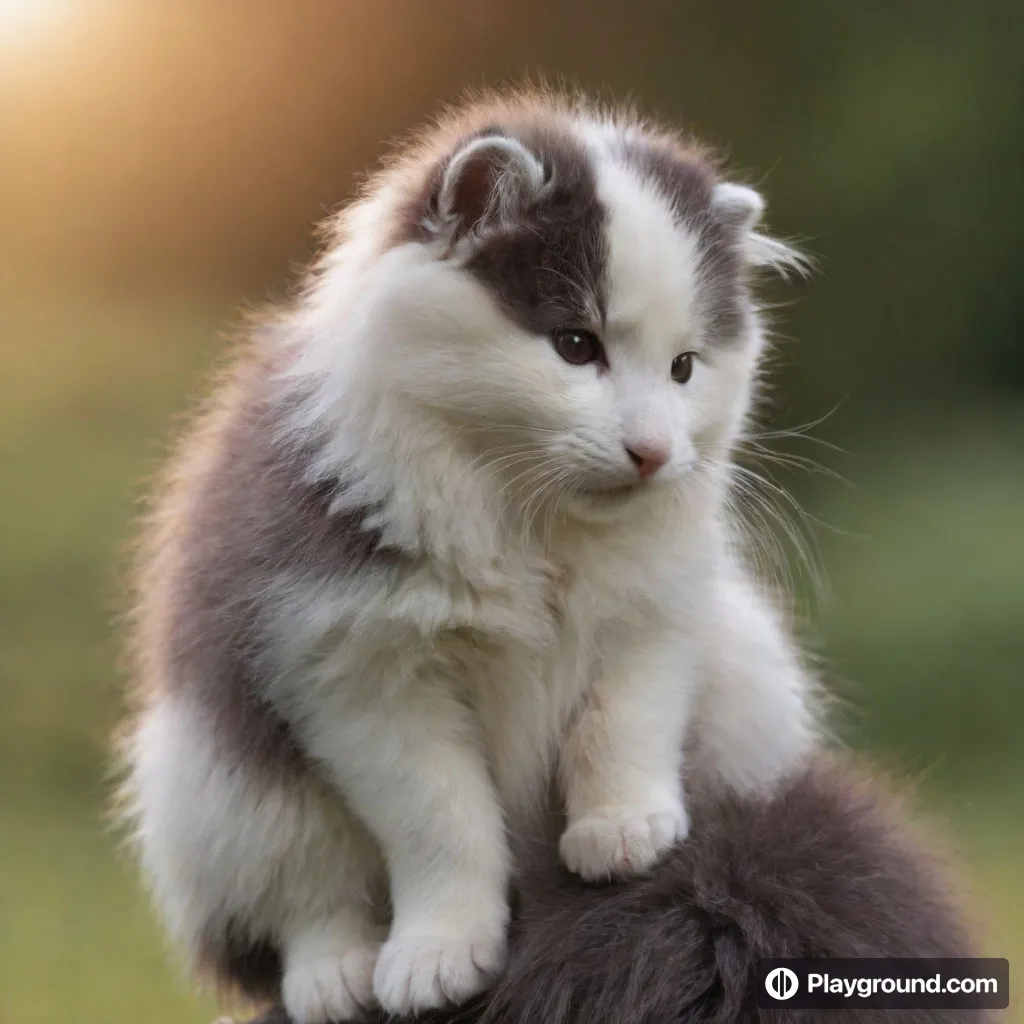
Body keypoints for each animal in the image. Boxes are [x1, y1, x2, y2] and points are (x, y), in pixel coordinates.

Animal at [119, 88, 819, 1024]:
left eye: (684, 368)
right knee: (302, 891)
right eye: (574, 345)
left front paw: (623, 828)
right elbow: (440, 818)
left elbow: (625, 715)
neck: (527, 513)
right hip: (212, 778)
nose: (653, 453)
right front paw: (437, 953)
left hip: (750, 678)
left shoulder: (659, 602)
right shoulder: (356, 668)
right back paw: (333, 974)